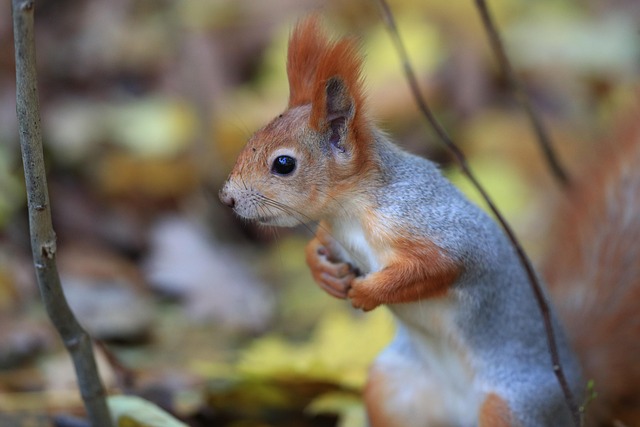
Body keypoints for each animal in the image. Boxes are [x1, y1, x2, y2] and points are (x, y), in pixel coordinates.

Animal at [219, 16, 640, 427]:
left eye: (283, 164)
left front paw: (367, 292)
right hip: (392, 386)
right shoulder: (338, 233)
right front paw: (324, 273)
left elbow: (435, 267)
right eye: (251, 140)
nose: (228, 198)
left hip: (511, 409)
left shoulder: (435, 228)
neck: (351, 215)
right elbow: (317, 244)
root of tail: (579, 389)